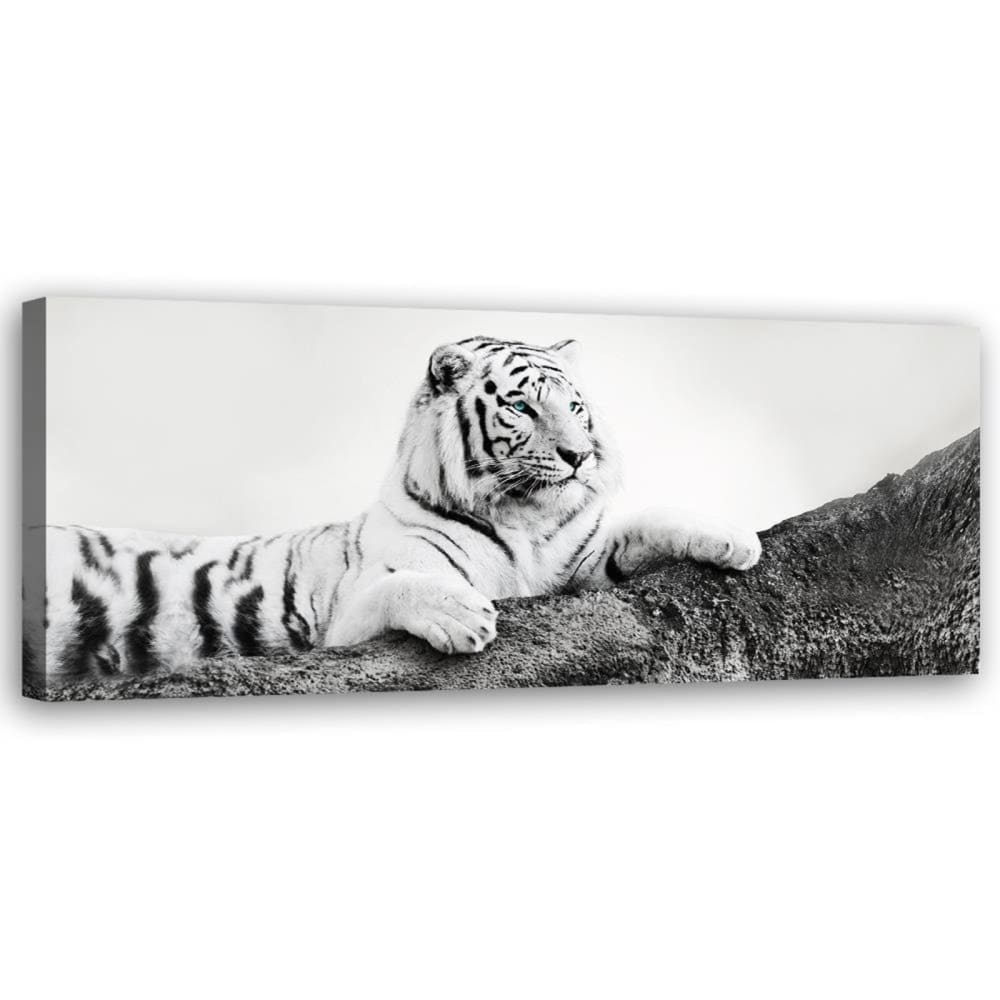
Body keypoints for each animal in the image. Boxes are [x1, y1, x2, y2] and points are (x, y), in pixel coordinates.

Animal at [23, 336, 761, 680]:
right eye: (523, 408)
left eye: (575, 406)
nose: (580, 456)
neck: (524, 518)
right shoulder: (348, 615)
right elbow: (404, 586)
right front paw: (465, 617)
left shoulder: (583, 561)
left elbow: (647, 522)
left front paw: (736, 540)